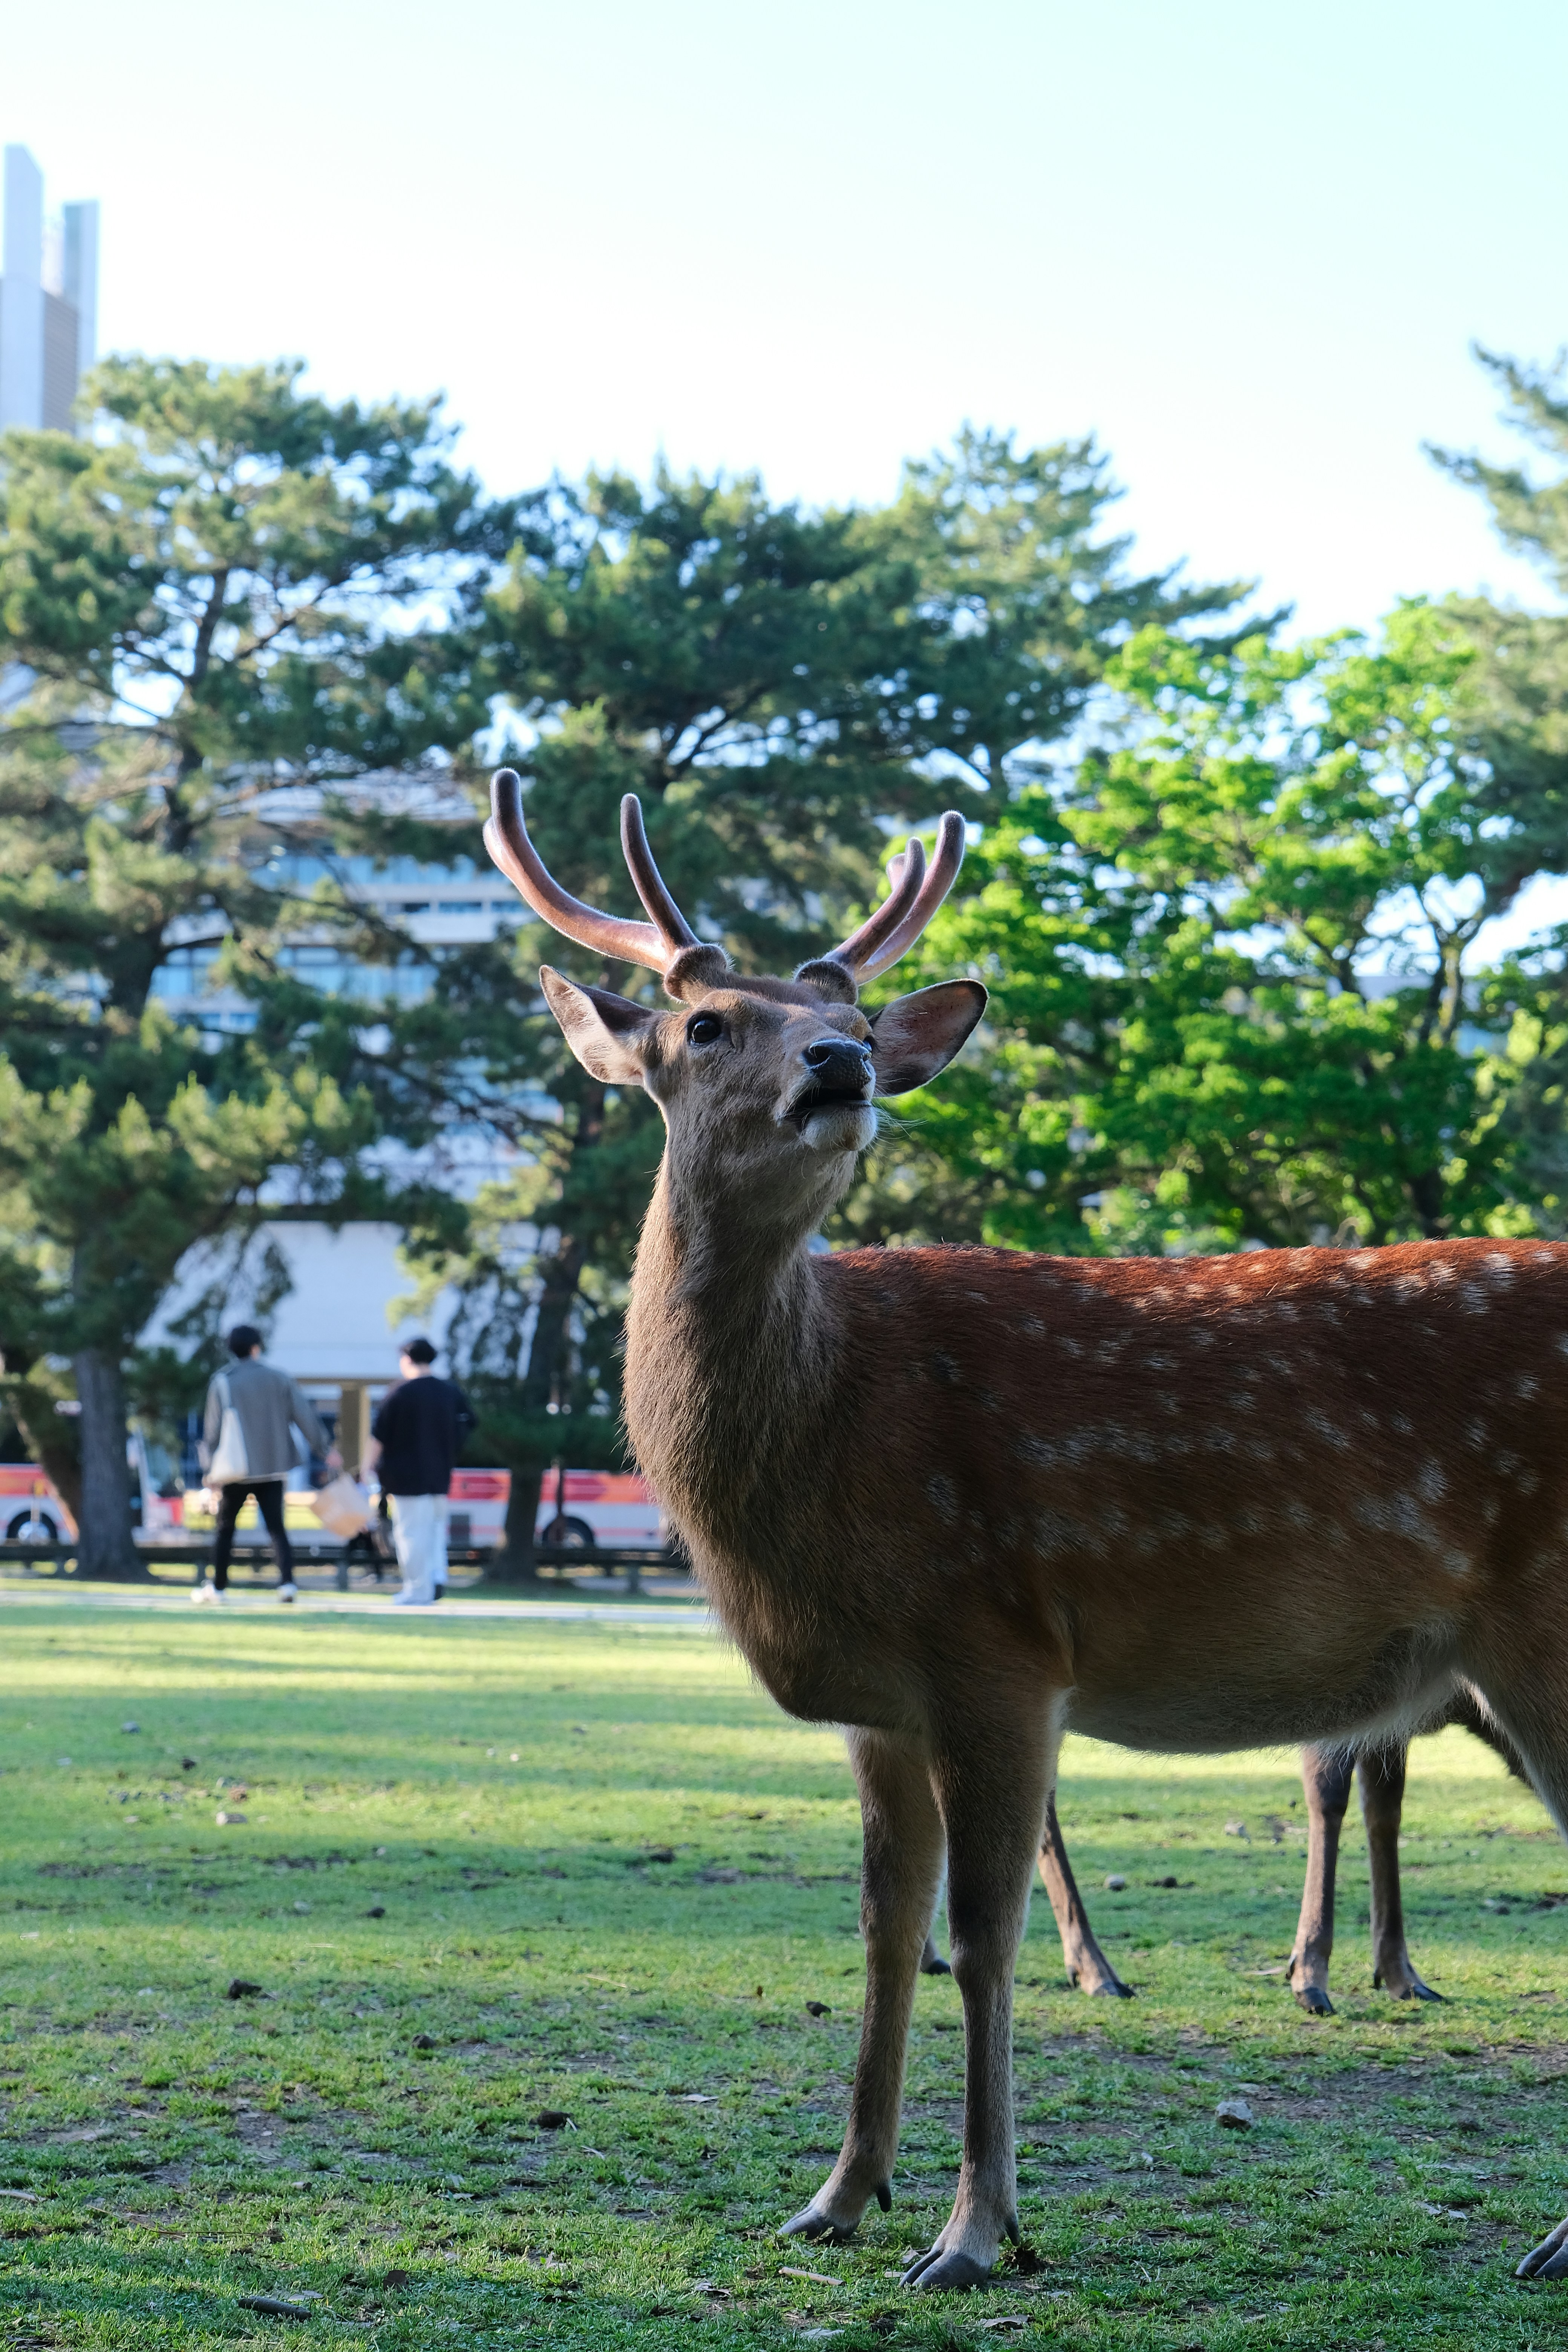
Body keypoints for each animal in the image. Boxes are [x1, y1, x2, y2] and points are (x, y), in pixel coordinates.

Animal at [484, 767, 1568, 2291]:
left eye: (844, 1014)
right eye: (706, 1024)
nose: (840, 1063)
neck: (809, 1464)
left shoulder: (992, 1647)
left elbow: (983, 1939)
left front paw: (974, 2228)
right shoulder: (880, 1697)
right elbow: (886, 1931)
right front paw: (837, 2195)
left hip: (1540, 1632)